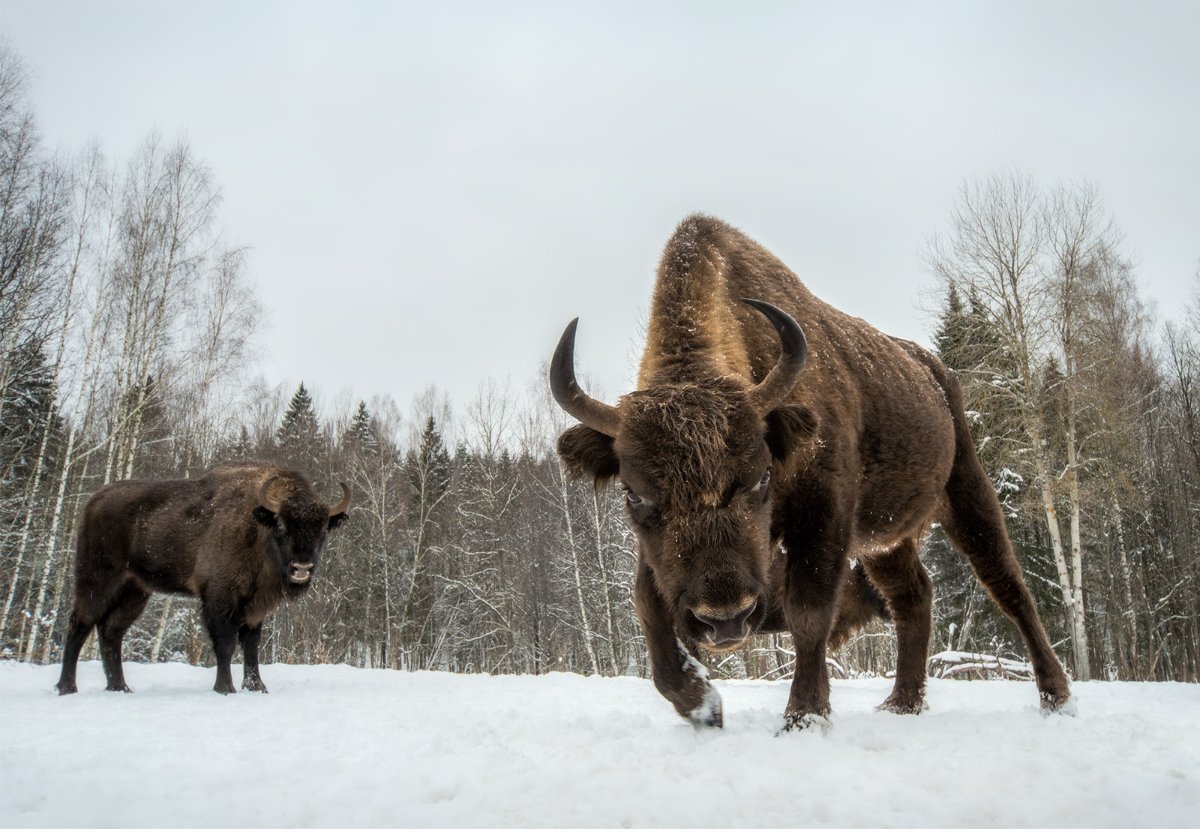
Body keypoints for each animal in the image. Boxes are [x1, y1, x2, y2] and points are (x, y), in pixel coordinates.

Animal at [55, 463, 350, 695]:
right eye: (281, 525)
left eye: (323, 530)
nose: (302, 567)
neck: (257, 526)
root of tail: (95, 500)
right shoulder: (220, 597)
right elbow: (226, 643)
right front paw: (225, 688)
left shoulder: (254, 606)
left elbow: (251, 646)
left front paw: (257, 687)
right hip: (98, 580)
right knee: (80, 624)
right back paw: (68, 687)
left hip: (135, 591)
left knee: (111, 631)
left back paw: (121, 688)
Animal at [549, 215, 1070, 734]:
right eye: (634, 494)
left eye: (761, 477)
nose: (725, 619)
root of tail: (934, 372)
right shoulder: (662, 558)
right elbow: (649, 608)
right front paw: (703, 705)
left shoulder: (825, 515)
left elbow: (809, 611)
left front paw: (804, 716)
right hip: (886, 541)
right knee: (913, 594)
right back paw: (902, 702)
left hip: (967, 493)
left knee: (1009, 586)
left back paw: (1056, 697)